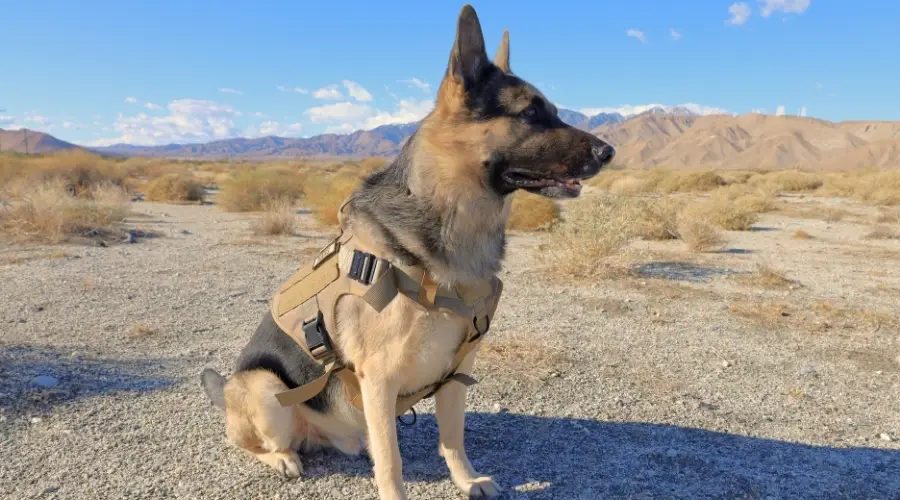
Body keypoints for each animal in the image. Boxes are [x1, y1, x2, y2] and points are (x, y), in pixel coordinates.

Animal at [200, 4, 616, 500]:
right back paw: (283, 457)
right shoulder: (379, 379)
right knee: (254, 440)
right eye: (531, 112)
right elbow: (392, 462)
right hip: (264, 389)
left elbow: (452, 438)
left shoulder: (456, 374)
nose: (609, 151)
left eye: (552, 110)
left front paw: (467, 480)